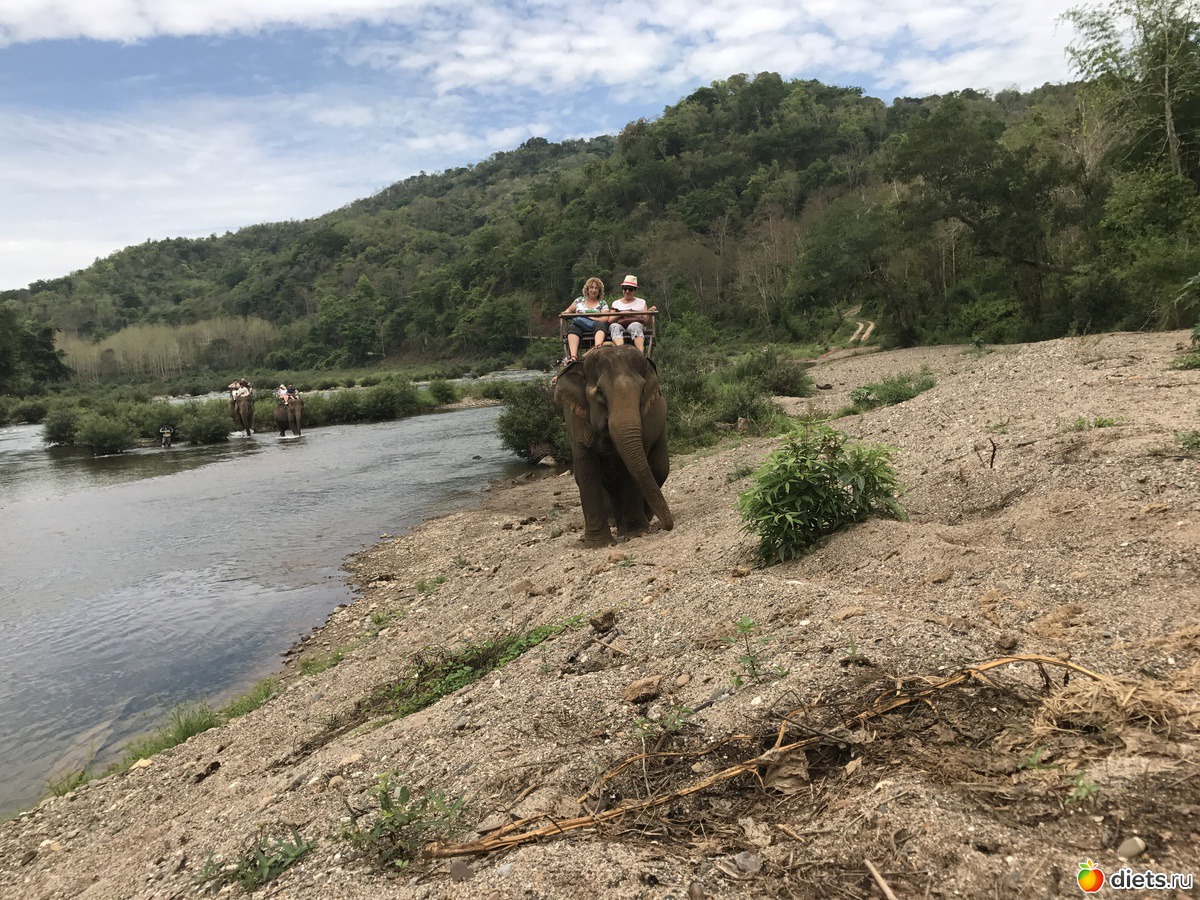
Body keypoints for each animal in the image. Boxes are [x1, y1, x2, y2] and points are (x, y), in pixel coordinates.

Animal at [552, 344, 672, 545]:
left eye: (642, 390)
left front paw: (636, 532)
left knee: (659, 467)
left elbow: (630, 471)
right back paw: (617, 524)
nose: (668, 526)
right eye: (600, 392)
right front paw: (597, 543)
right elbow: (586, 472)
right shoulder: (577, 422)